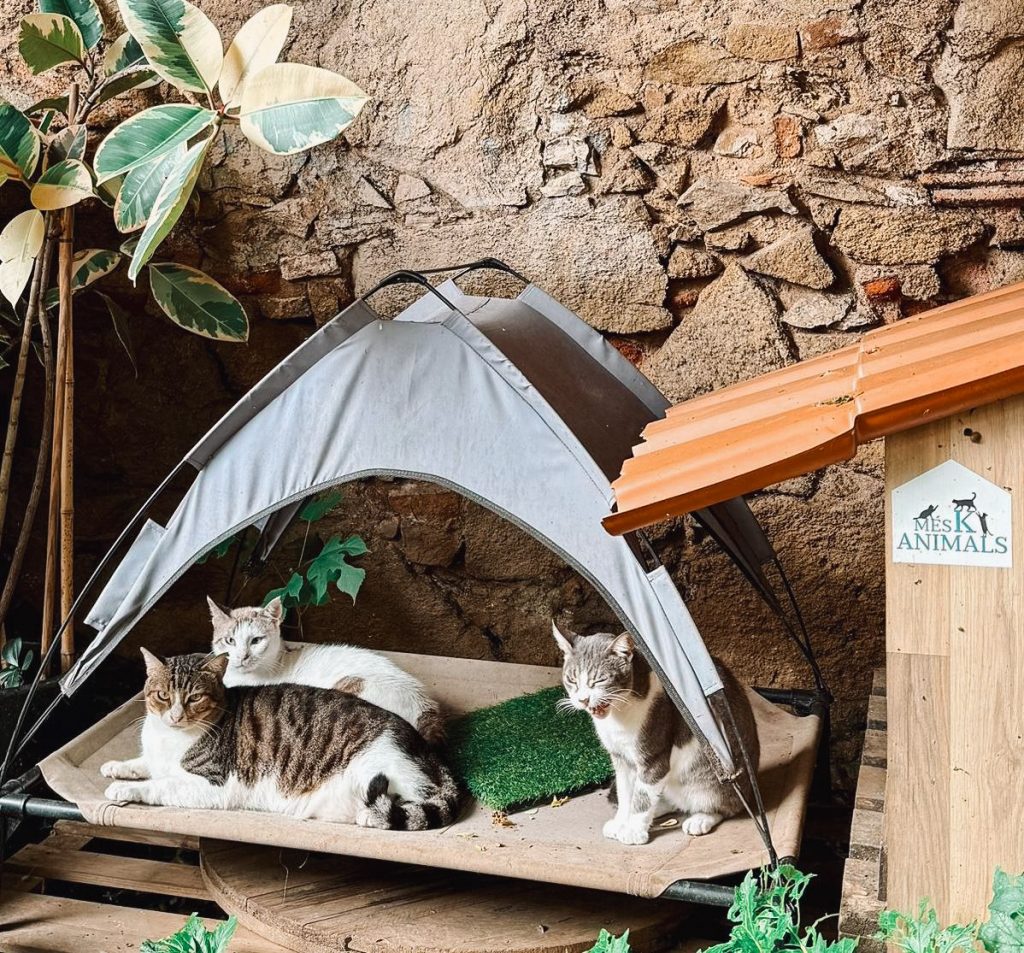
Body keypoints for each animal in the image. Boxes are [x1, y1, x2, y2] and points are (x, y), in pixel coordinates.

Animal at [101, 650, 460, 830]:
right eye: (163, 696)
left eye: (195, 698)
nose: (175, 716)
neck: (169, 738)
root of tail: (426, 748)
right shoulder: (155, 758)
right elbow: (143, 765)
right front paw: (116, 766)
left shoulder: (214, 785)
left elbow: (160, 785)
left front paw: (124, 788)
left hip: (378, 767)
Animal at [552, 622, 760, 846]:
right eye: (571, 679)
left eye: (600, 680)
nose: (583, 699)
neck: (617, 716)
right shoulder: (620, 758)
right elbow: (626, 793)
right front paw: (621, 822)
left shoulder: (654, 756)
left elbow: (642, 796)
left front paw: (632, 831)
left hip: (711, 782)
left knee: (725, 806)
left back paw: (699, 819)